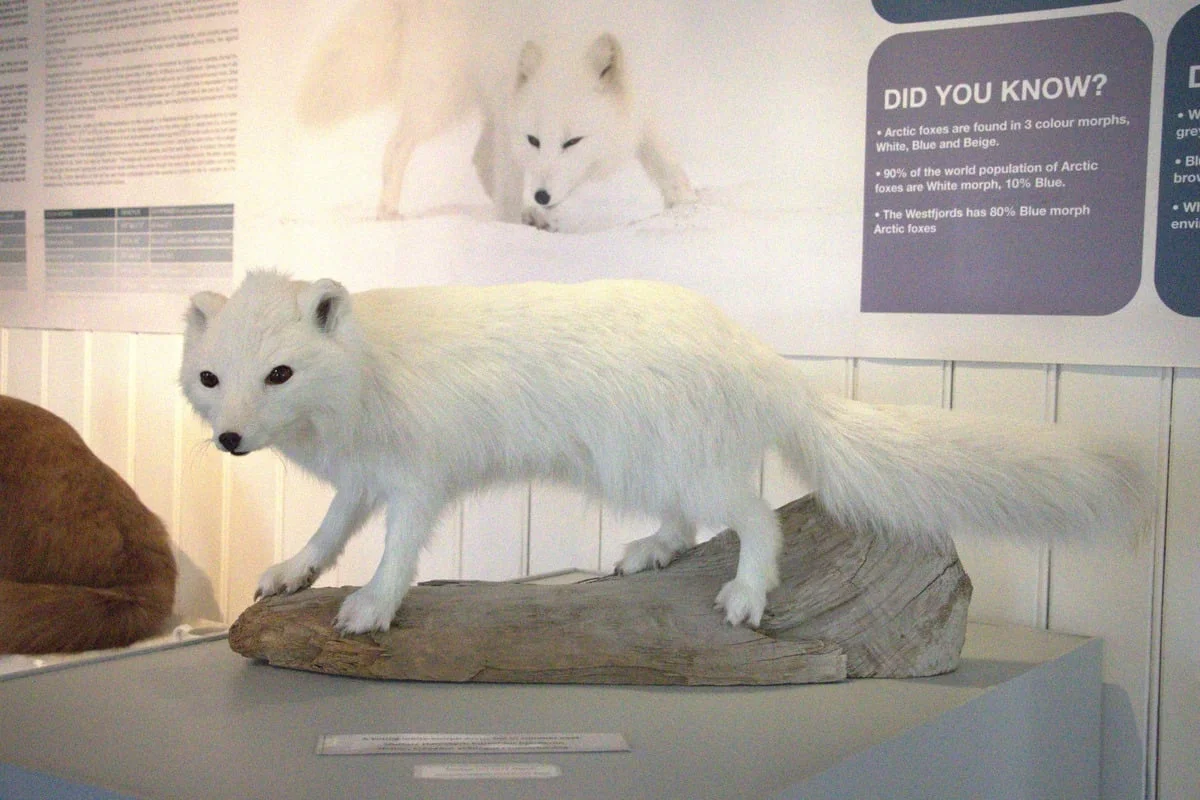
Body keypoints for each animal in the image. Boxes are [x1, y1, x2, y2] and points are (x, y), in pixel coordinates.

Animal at [181, 271, 1144, 636]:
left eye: (279, 372)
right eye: (211, 376)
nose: (230, 440)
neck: (367, 377)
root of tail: (754, 352)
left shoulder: (417, 479)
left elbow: (396, 551)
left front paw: (373, 608)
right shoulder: (359, 482)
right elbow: (328, 532)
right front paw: (290, 576)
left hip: (681, 463)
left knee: (757, 517)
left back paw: (749, 594)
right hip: (641, 464)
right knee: (685, 523)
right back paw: (648, 553)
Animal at [296, 0, 697, 228]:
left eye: (572, 142)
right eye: (535, 140)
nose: (541, 196)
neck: (566, 32)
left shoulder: (641, 100)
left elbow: (664, 160)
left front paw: (686, 206)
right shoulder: (510, 115)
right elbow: (505, 187)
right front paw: (508, 238)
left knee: (478, 158)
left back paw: (529, 214)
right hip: (443, 94)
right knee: (397, 146)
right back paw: (388, 214)